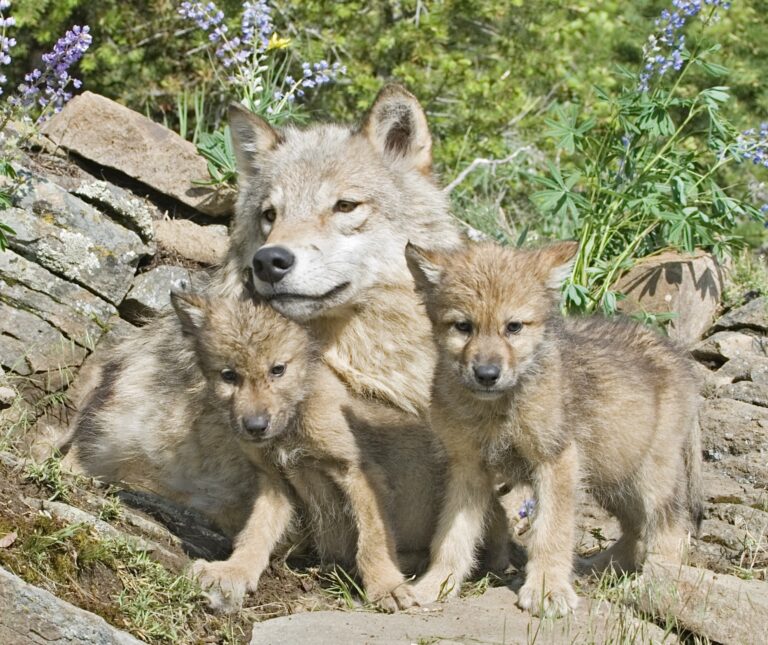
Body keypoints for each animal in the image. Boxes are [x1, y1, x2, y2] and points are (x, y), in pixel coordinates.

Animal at [405, 240, 703, 617]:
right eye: (463, 326)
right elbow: (451, 536)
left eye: (513, 327)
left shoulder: (556, 461)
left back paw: (652, 585)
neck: (497, 408)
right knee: (635, 531)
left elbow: (552, 531)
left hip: (650, 477)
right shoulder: (468, 468)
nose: (487, 374)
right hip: (613, 475)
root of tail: (680, 358)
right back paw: (596, 568)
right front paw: (435, 585)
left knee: (671, 531)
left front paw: (547, 590)